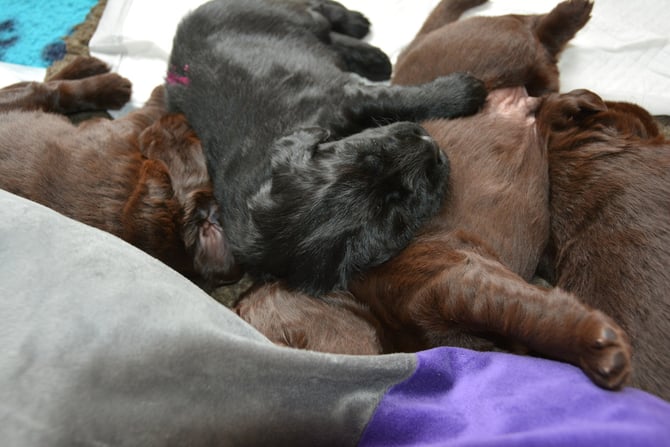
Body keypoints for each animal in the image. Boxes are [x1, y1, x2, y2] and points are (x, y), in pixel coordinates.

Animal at [0, 56, 241, 291]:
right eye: (198, 141)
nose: (177, 116)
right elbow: (146, 113)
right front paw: (163, 91)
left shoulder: (123, 132)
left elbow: (144, 114)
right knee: (50, 87)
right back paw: (94, 70)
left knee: (51, 90)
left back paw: (105, 79)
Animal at [166, 0, 487, 296]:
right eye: (394, 210)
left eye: (370, 154)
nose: (429, 145)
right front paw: (467, 90)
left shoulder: (348, 100)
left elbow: (398, 98)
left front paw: (462, 90)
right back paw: (371, 54)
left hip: (278, 15)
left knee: (319, 13)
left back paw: (360, 30)